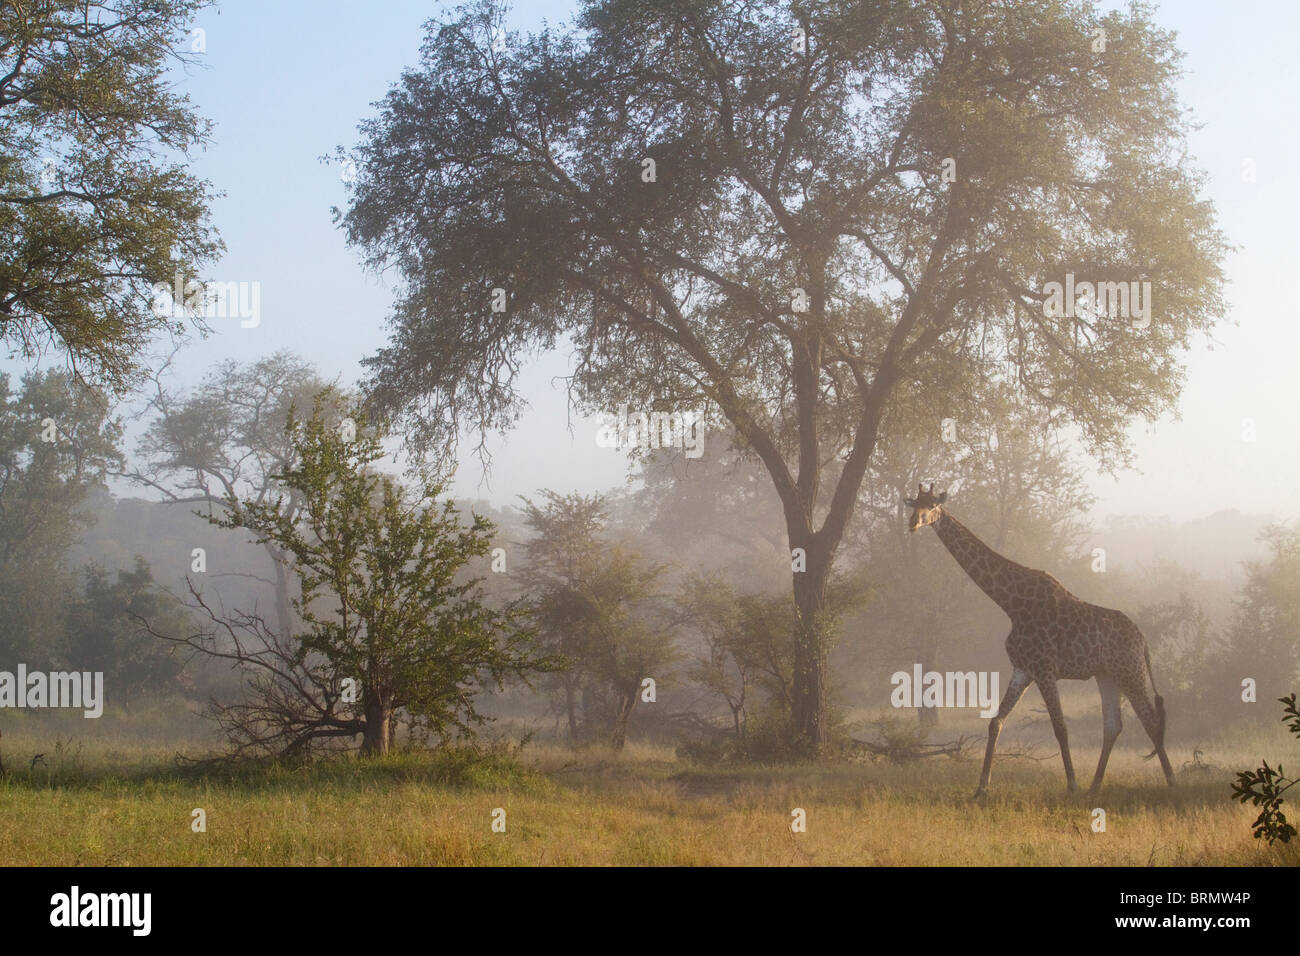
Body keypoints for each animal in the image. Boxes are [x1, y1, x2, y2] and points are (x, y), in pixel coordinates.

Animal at [903, 483, 1176, 796]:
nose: (913, 523)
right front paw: (981, 787)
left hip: (1129, 671)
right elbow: (996, 721)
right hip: (1107, 675)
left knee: (1150, 719)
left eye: (933, 505)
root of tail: (1143, 641)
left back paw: (1171, 782)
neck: (1011, 603)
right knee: (1113, 725)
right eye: (916, 503)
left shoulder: (1045, 669)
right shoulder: (1023, 669)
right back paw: (1095, 787)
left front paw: (1071, 785)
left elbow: (1060, 727)